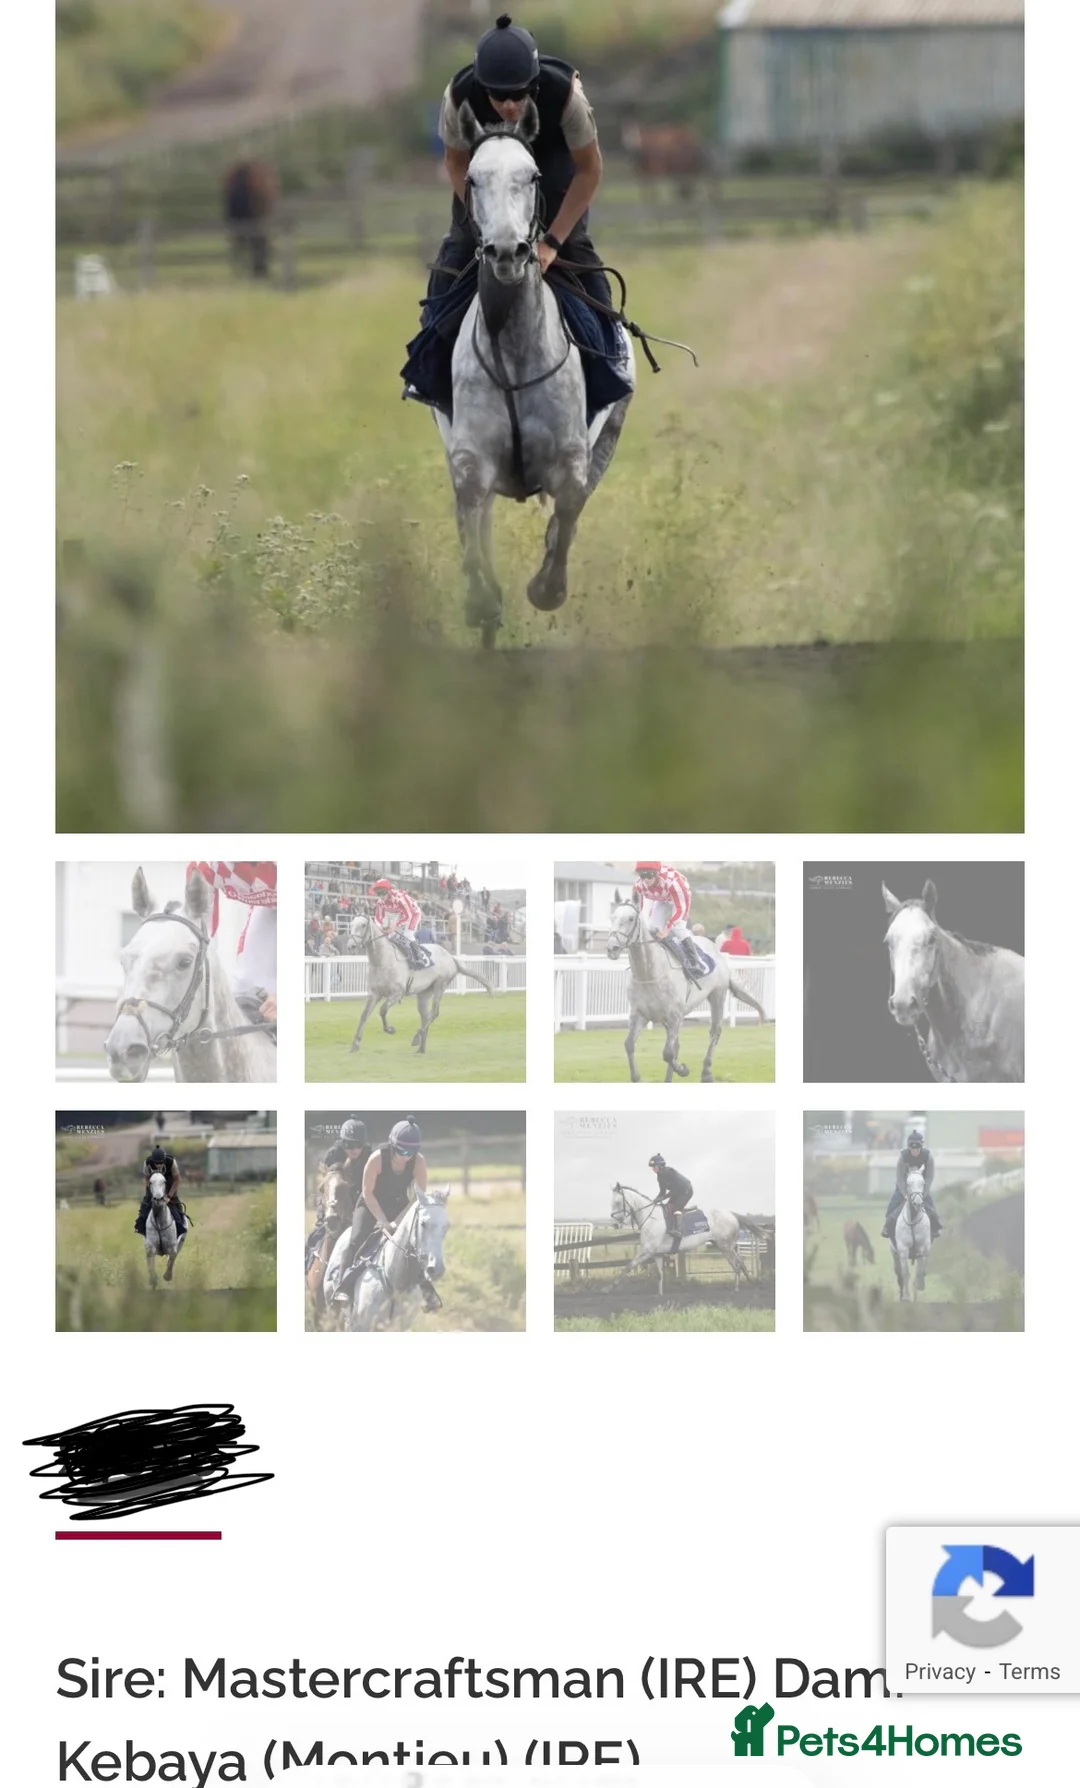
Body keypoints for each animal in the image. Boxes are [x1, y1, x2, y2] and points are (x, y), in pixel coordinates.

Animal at [345, 914, 493, 1055]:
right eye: (351, 924)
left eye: (363, 925)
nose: (351, 945)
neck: (382, 960)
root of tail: (451, 958)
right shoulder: (374, 994)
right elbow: (364, 1015)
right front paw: (355, 1044)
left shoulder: (397, 993)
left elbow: (382, 1010)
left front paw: (390, 1029)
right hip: (424, 993)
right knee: (425, 1016)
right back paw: (421, 1048)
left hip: (440, 985)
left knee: (434, 1013)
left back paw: (416, 1038)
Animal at [439, 103, 635, 646]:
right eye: (473, 178)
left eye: (532, 175)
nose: (508, 253)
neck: (514, 348)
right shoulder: (470, 462)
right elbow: (471, 531)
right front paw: (482, 602)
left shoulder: (571, 460)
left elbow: (565, 519)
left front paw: (546, 586)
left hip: (608, 437)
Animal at [606, 899, 767, 1082]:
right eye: (612, 917)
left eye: (631, 918)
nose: (612, 948)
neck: (648, 973)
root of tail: (716, 949)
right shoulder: (640, 1015)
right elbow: (629, 1045)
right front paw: (637, 1077)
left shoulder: (674, 1017)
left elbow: (668, 1053)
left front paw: (683, 1069)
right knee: (678, 1044)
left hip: (718, 995)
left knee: (714, 1033)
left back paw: (706, 1072)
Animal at [609, 1180, 766, 1298]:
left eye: (617, 1203)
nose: (614, 1225)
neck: (650, 1218)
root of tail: (732, 1214)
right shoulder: (656, 1253)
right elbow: (659, 1274)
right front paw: (659, 1294)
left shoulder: (646, 1251)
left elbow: (627, 1266)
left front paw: (609, 1288)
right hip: (726, 1246)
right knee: (740, 1261)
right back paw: (750, 1282)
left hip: (725, 1246)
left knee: (736, 1264)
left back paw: (737, 1288)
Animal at [892, 1170, 932, 1302]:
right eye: (908, 1183)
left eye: (923, 1183)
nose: (918, 1203)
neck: (913, 1221)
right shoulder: (903, 1251)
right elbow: (906, 1274)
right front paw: (906, 1297)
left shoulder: (922, 1250)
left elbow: (919, 1273)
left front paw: (916, 1293)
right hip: (895, 1255)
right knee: (899, 1275)